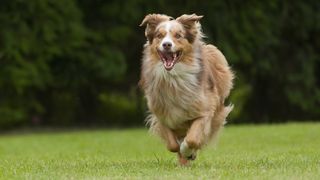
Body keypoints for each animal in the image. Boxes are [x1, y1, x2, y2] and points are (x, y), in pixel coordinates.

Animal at [139, 13, 234, 165]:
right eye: (160, 35)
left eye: (178, 35)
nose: (167, 44)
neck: (173, 77)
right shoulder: (161, 115)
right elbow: (172, 145)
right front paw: (182, 152)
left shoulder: (204, 112)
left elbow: (192, 139)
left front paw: (187, 150)